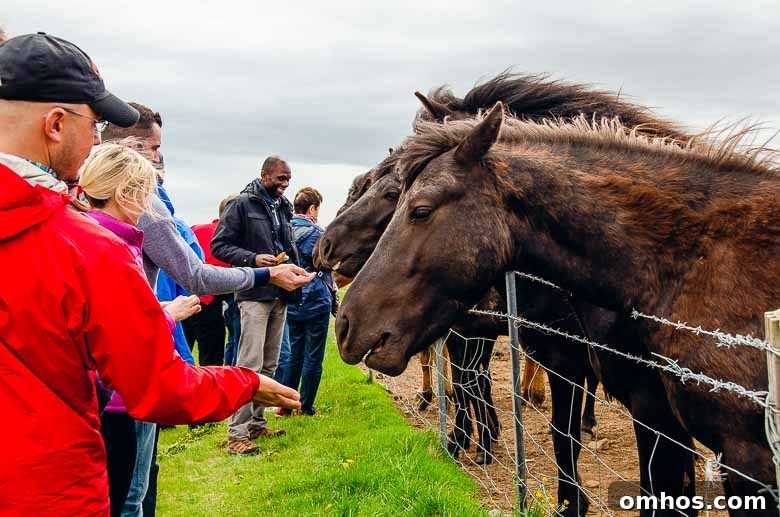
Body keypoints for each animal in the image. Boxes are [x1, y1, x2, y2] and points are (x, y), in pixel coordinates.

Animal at [337, 103, 779, 516]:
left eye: (418, 208)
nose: (345, 324)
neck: (699, 260)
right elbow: (473, 387)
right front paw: (472, 441)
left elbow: (554, 430)